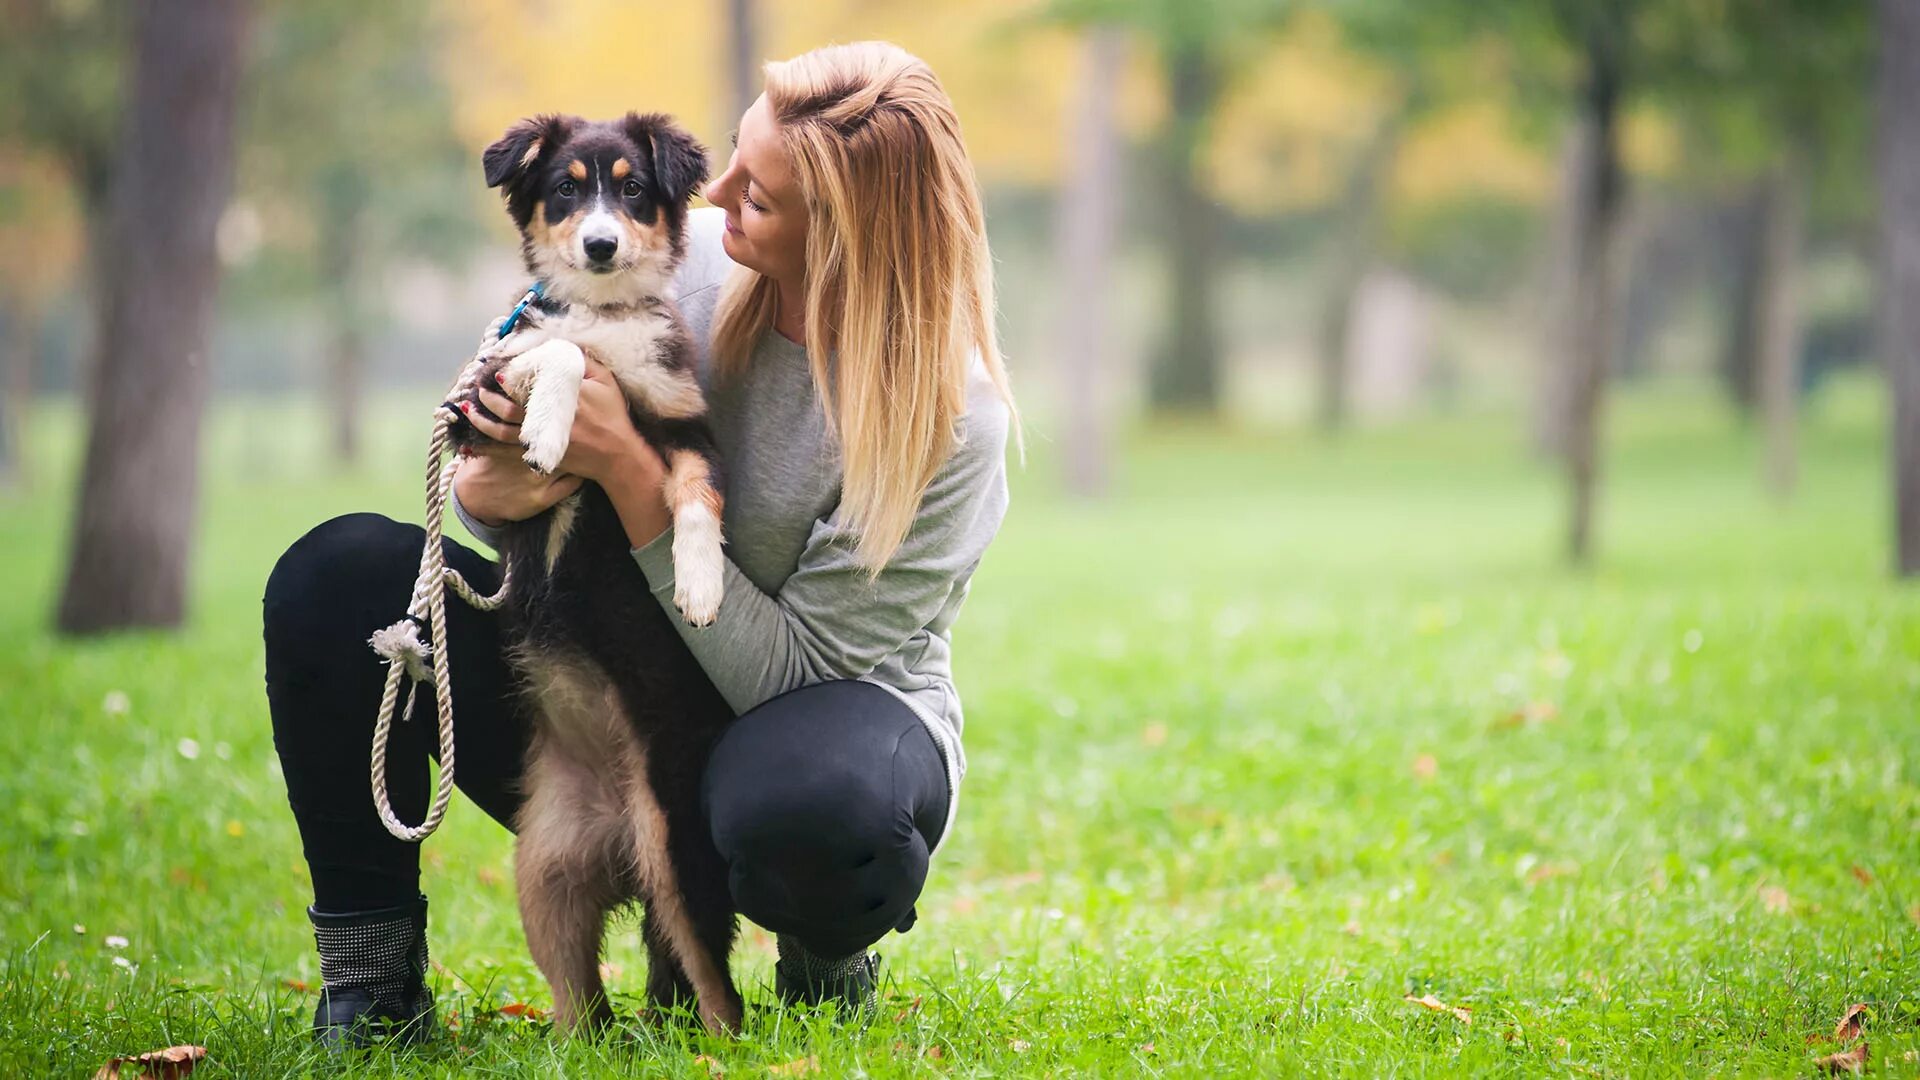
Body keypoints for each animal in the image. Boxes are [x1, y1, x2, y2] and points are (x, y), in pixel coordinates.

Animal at [453, 111, 744, 1037]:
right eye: (565, 191)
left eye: (635, 190)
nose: (603, 244)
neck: (604, 310)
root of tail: (621, 837)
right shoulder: (477, 404)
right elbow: (561, 354)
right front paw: (551, 428)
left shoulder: (686, 425)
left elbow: (696, 497)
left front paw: (699, 586)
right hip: (542, 875)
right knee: (582, 1005)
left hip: (680, 852)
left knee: (718, 992)